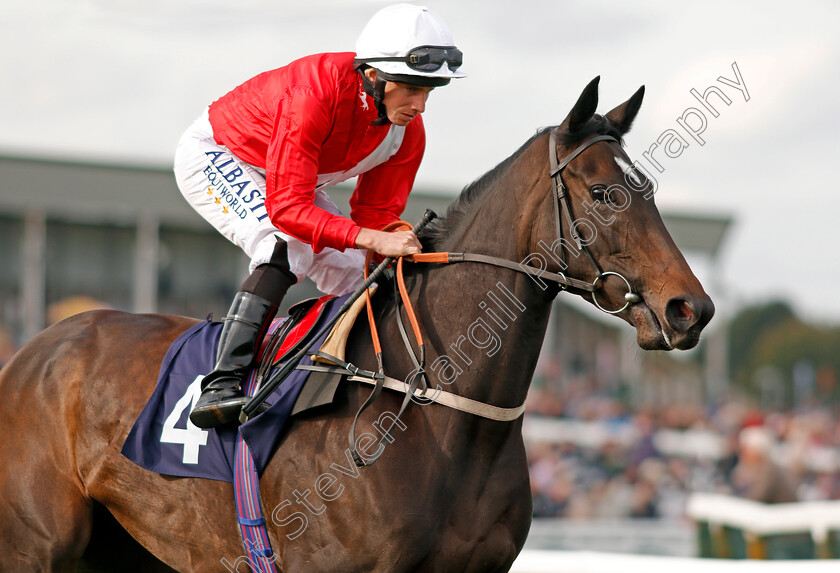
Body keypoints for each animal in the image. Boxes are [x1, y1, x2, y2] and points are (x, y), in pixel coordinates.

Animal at [0, 77, 716, 572]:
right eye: (603, 193)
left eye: (648, 189)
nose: (692, 309)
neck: (439, 414)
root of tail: (33, 350)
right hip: (38, 547)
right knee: (278, 244)